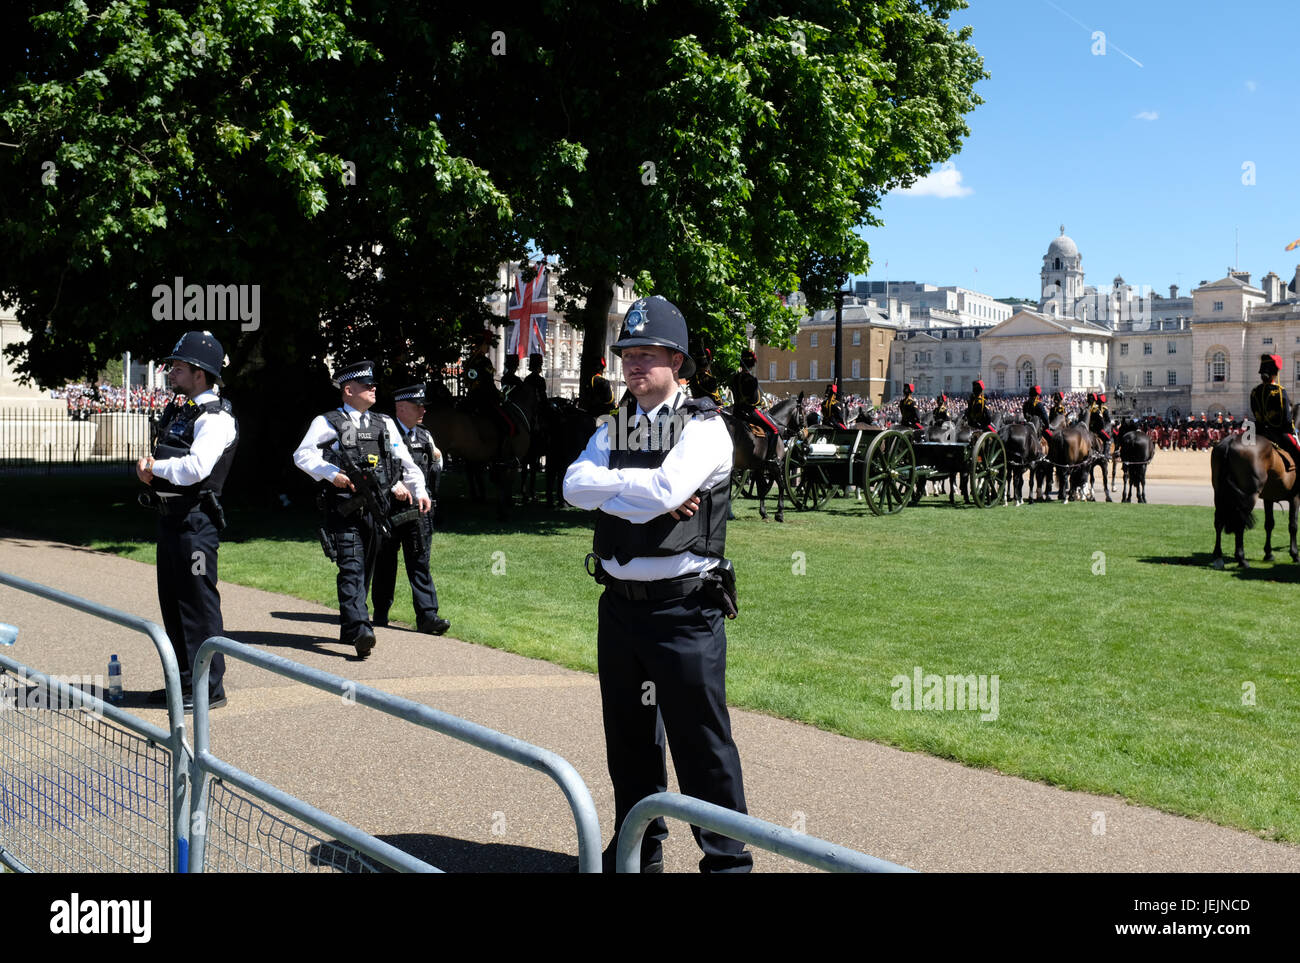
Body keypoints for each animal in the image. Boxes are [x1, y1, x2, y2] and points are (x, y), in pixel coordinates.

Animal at [1206, 431, 1300, 566]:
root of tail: (1231, 440)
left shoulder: (1268, 499)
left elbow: (1269, 524)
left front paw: (1268, 554)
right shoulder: (1295, 498)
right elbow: (1293, 526)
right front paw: (1294, 554)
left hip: (1219, 494)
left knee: (1219, 522)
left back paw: (1218, 555)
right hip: (1249, 496)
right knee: (1240, 522)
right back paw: (1241, 558)